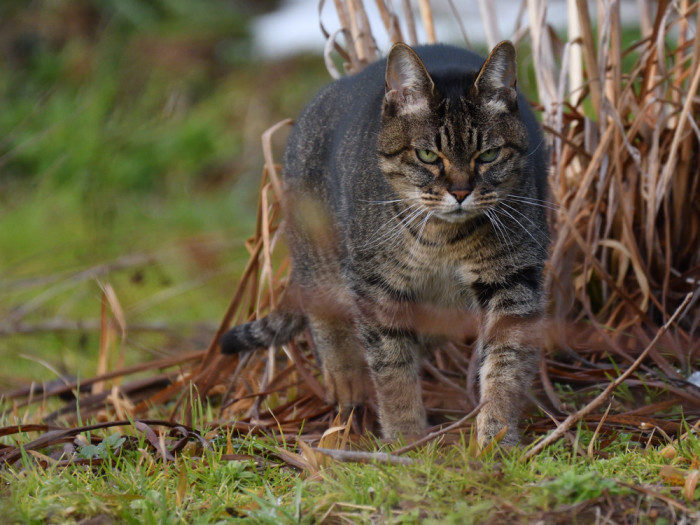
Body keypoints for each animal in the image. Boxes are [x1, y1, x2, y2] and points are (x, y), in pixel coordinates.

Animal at [221, 41, 548, 444]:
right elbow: (391, 371)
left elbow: (505, 365)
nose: (460, 192)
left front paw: (495, 439)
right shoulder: (377, 286)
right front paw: (405, 439)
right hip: (319, 250)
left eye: (488, 154)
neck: (444, 241)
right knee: (322, 309)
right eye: (427, 155)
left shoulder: (513, 281)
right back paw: (345, 379)